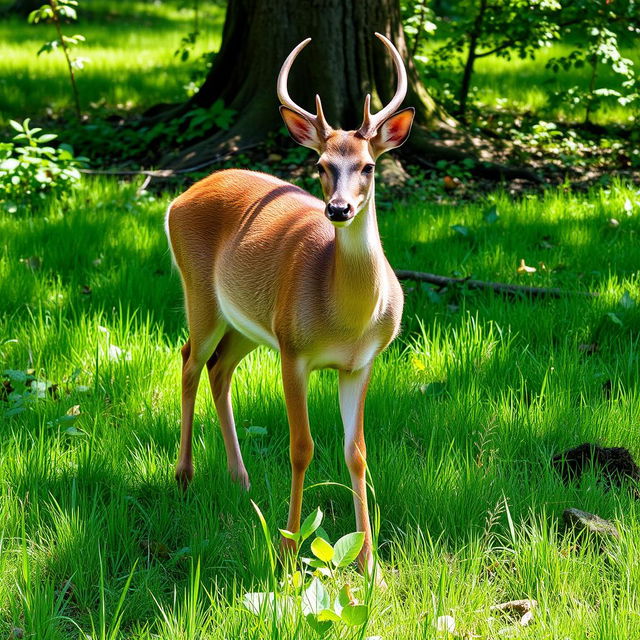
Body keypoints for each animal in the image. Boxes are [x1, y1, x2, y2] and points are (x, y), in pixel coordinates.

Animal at [166, 33, 416, 576]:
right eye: (321, 165)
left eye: (368, 165)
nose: (338, 209)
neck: (346, 318)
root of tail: (178, 198)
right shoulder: (293, 351)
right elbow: (301, 447)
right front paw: (287, 549)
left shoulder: (361, 362)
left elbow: (357, 452)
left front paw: (370, 565)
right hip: (201, 296)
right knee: (189, 360)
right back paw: (184, 475)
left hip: (248, 324)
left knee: (218, 368)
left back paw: (240, 479)